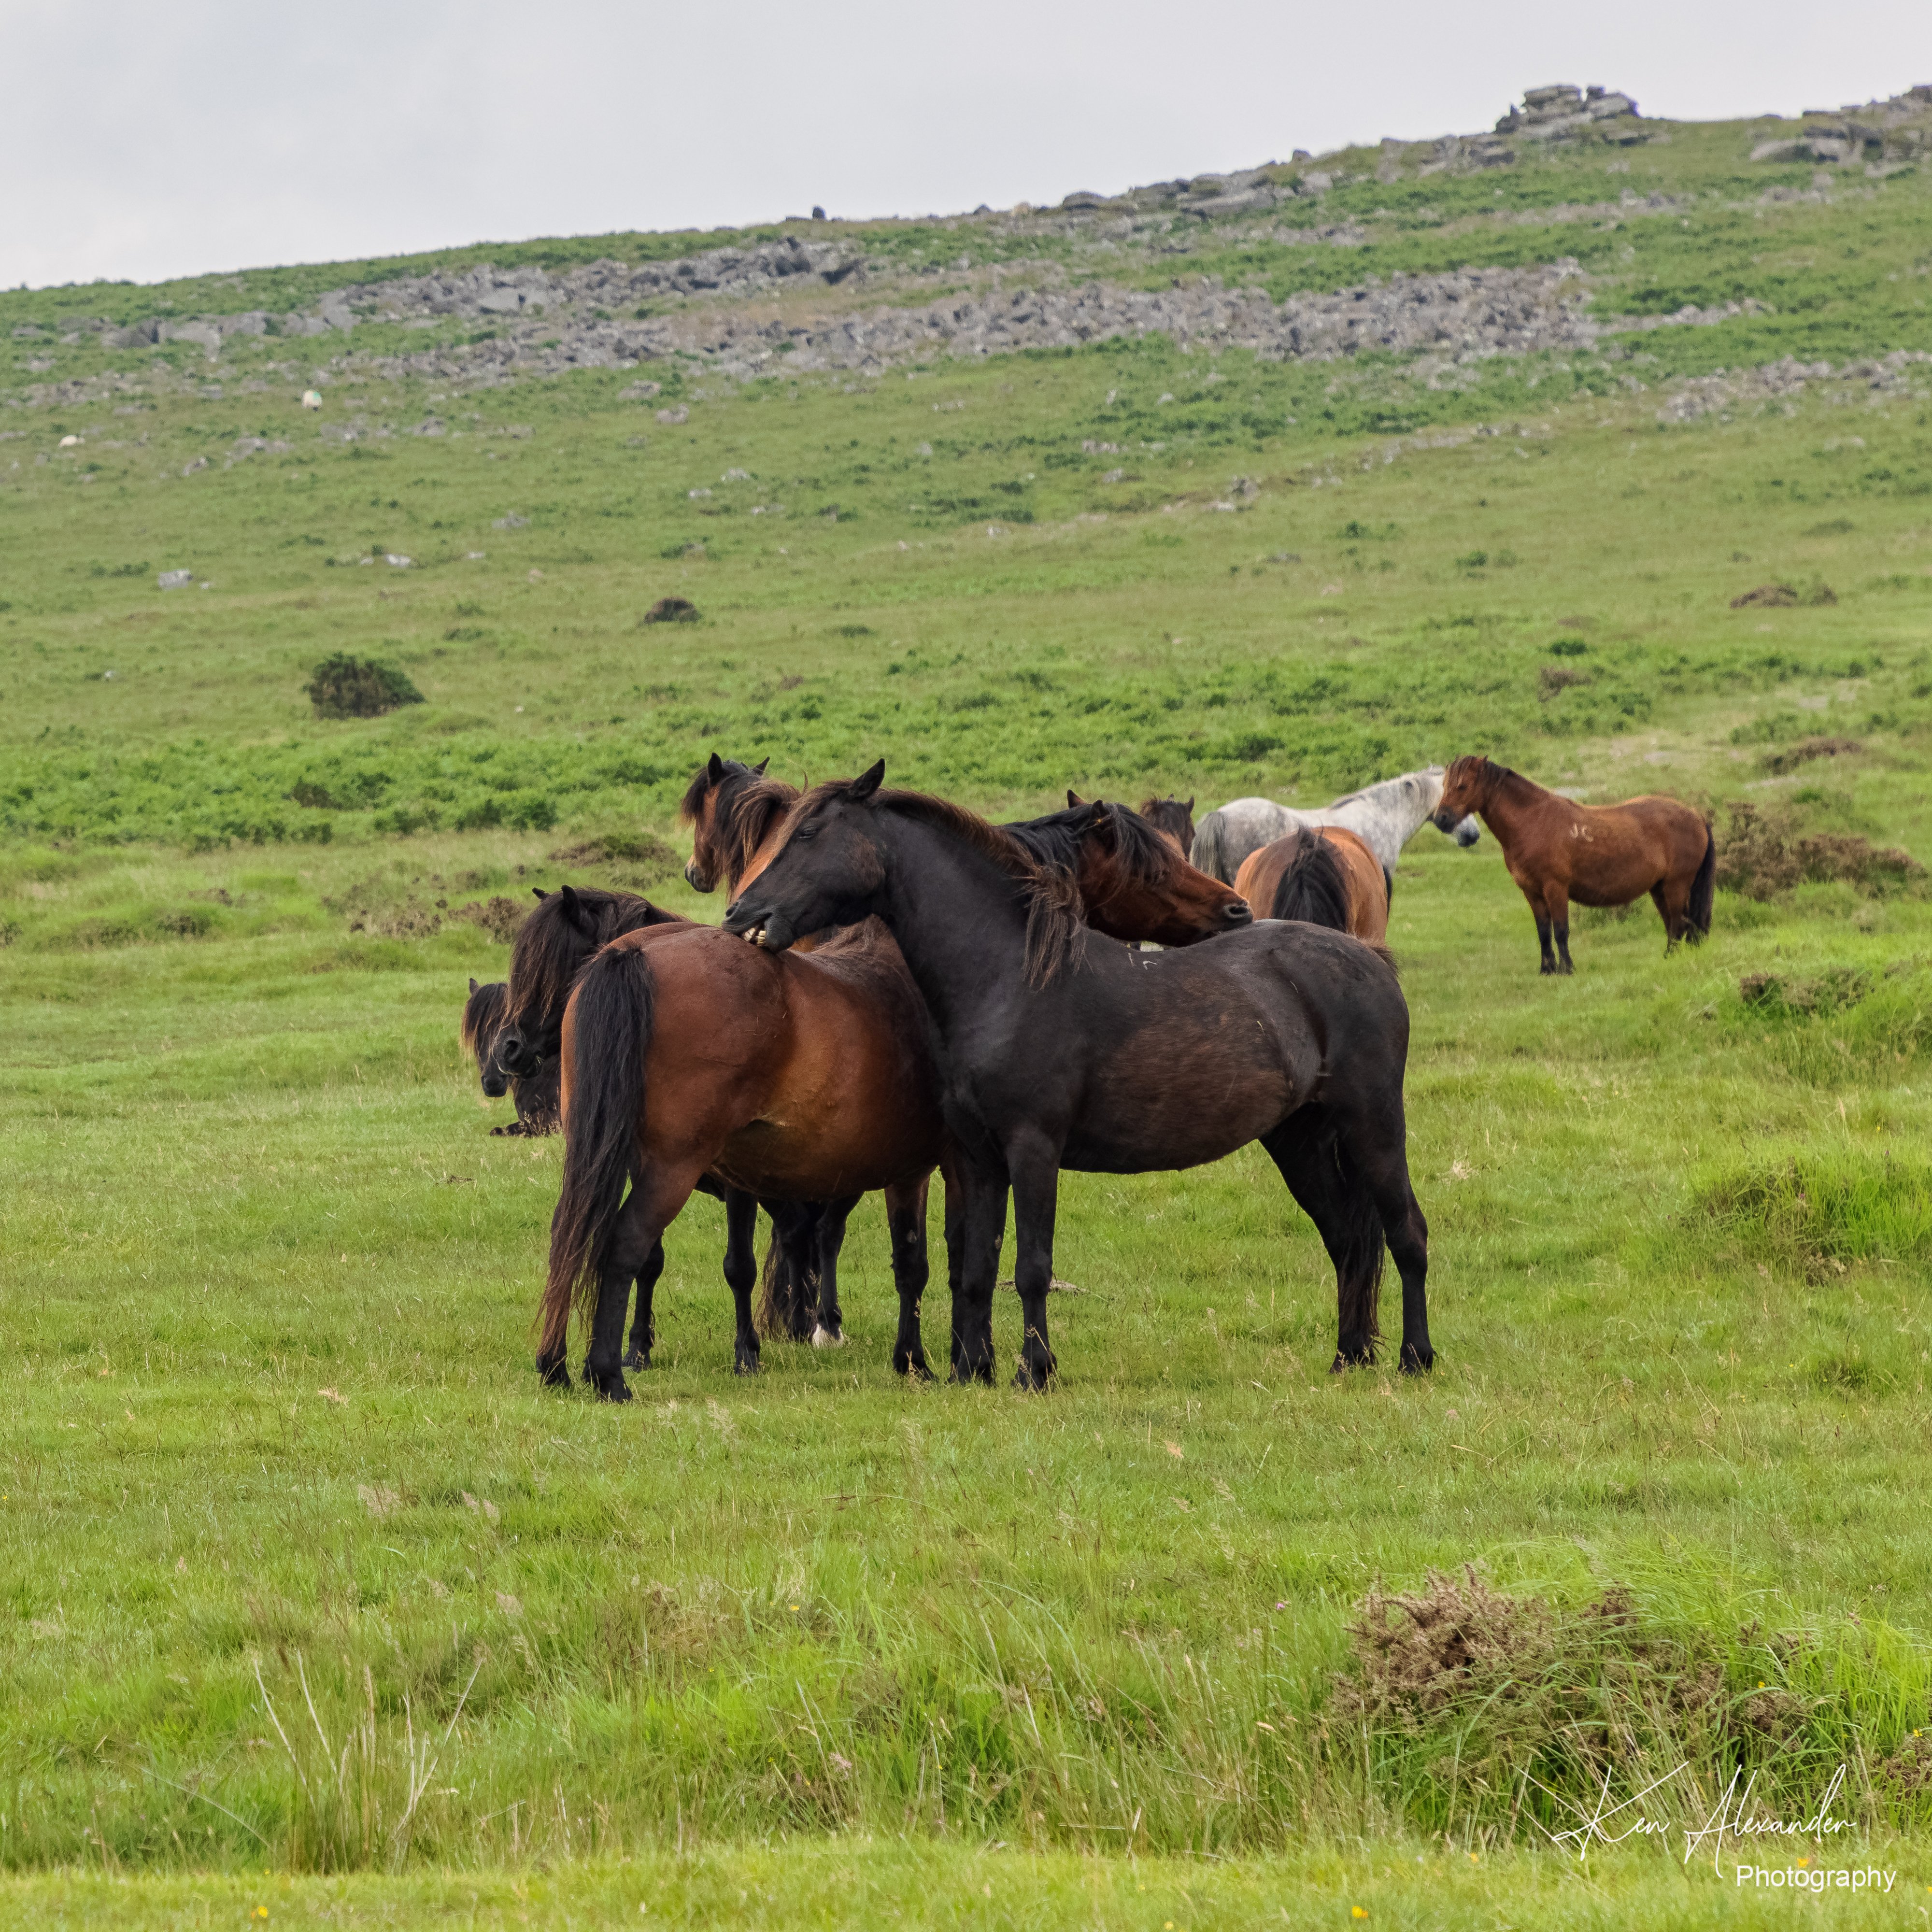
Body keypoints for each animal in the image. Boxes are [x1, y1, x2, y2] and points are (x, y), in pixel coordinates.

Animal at [1430, 750, 1716, 974]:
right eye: (1445, 786)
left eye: (1462, 786)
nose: (1441, 819)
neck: (1533, 823)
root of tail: (1697, 817)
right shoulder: (1532, 892)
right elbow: (1544, 933)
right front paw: (1547, 970)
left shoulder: (1556, 888)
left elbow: (1561, 931)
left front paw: (1567, 969)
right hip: (1659, 889)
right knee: (1676, 925)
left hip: (1676, 886)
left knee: (1678, 924)